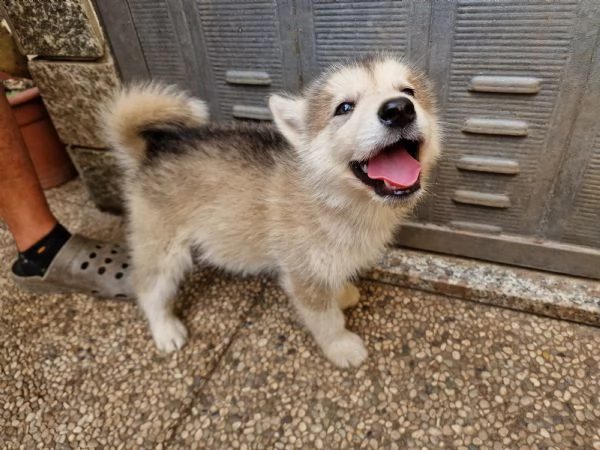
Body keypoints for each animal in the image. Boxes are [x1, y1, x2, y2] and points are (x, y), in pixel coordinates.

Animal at [103, 53, 440, 370]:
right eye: (344, 108)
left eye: (408, 91)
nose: (398, 109)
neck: (335, 199)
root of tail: (149, 153)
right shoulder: (303, 274)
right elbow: (325, 320)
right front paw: (341, 347)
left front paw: (342, 294)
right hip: (164, 249)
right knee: (148, 287)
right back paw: (165, 330)